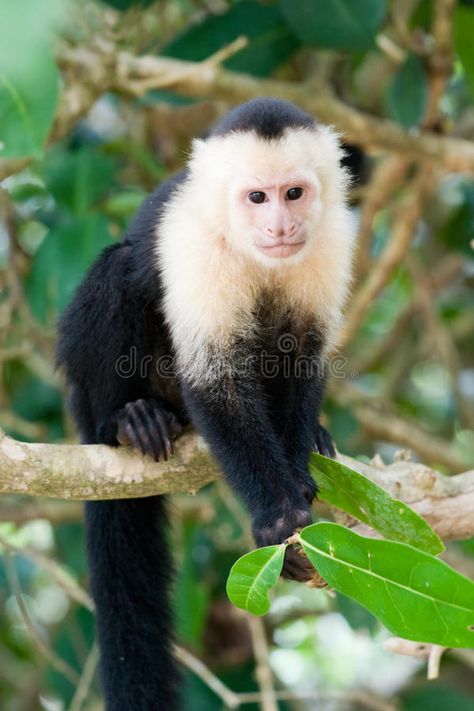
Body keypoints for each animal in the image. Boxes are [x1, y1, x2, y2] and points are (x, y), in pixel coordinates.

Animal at [57, 97, 354, 708]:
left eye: (294, 193)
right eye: (257, 198)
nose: (281, 225)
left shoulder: (333, 238)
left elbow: (302, 355)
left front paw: (299, 471)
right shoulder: (193, 244)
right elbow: (216, 383)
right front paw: (279, 517)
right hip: (87, 377)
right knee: (119, 272)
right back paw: (127, 421)